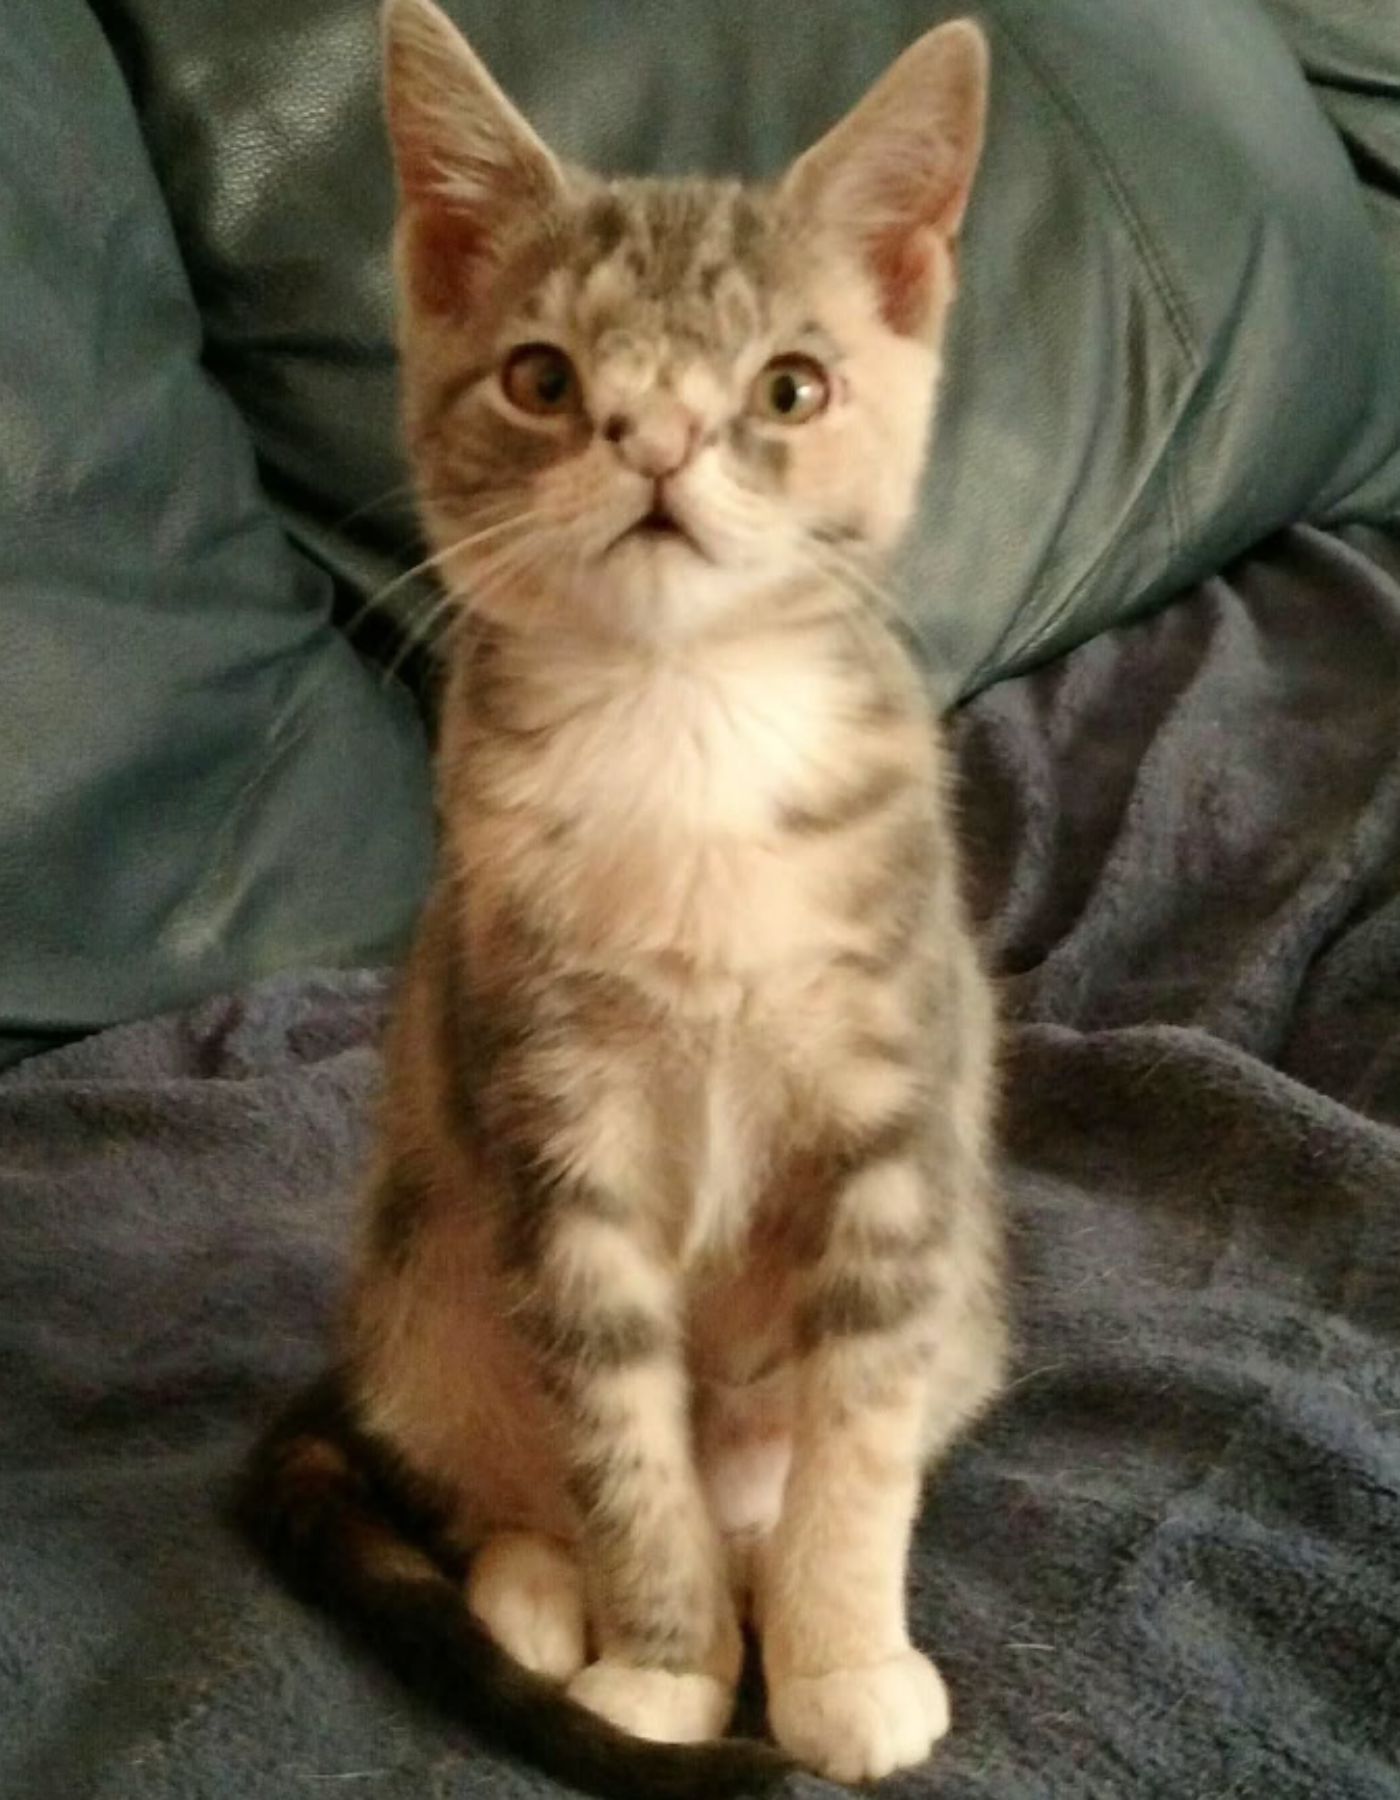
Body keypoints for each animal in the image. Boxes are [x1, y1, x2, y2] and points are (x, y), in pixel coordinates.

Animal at [239, 7, 1000, 1792]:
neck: (685, 723)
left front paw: (840, 1656)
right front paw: (658, 1670)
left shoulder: (898, 1121)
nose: (655, 446)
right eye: (543, 380)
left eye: (789, 387)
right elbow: (615, 1438)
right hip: (425, 1270)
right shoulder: (550, 1134)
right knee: (496, 1474)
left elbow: (861, 1432)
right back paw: (539, 1596)